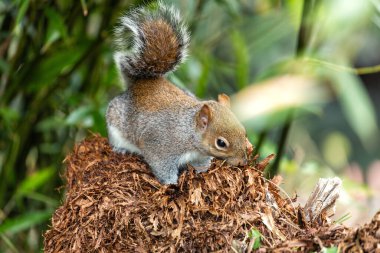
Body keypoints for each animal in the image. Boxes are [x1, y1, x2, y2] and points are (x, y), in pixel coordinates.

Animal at [105, 1, 252, 184]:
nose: (242, 162)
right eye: (221, 143)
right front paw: (171, 183)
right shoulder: (160, 147)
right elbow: (162, 166)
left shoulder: (198, 154)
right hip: (115, 124)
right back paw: (121, 149)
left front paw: (203, 169)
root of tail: (140, 83)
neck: (189, 132)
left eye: (244, 132)